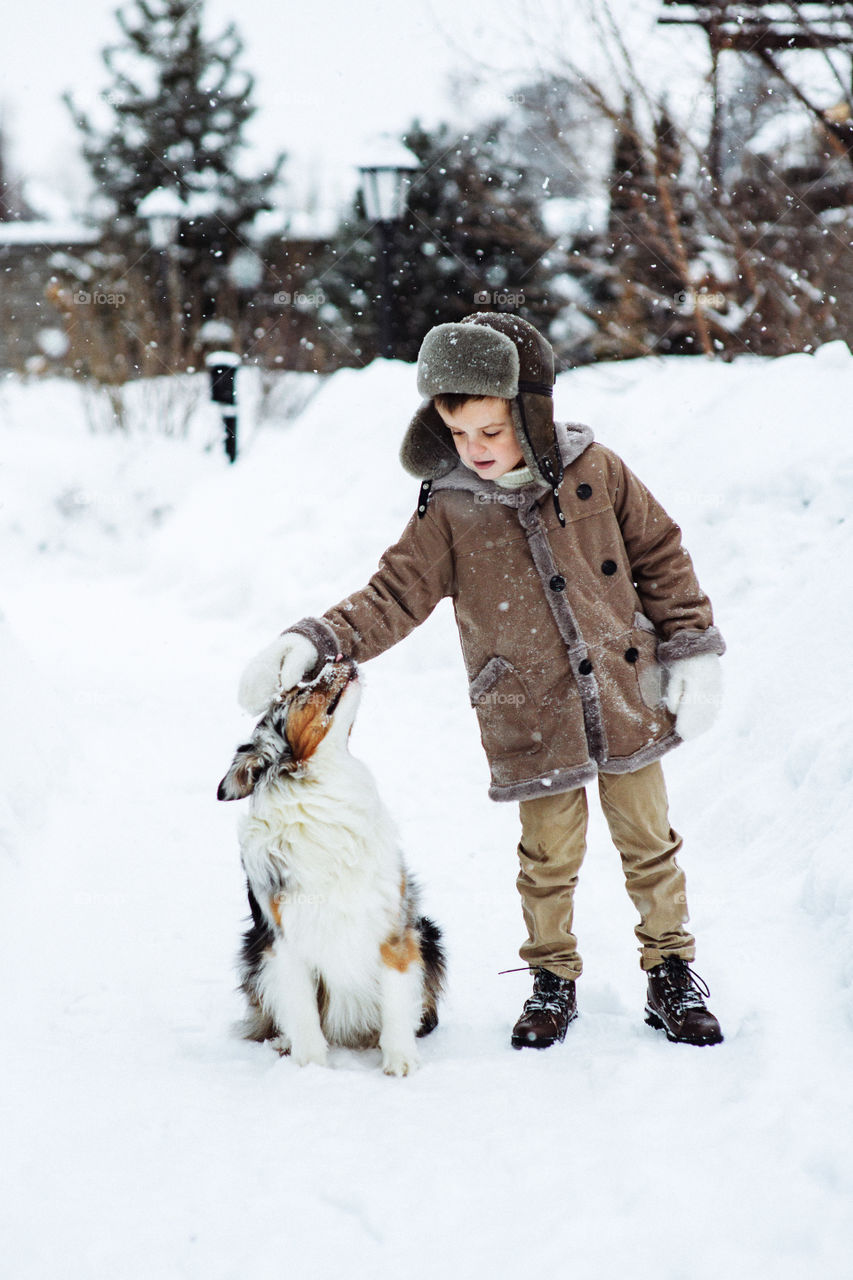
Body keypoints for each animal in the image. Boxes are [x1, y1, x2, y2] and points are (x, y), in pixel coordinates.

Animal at [217, 655, 445, 1075]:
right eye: (295, 691)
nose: (338, 656)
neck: (322, 784)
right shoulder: (284, 940)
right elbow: (304, 1012)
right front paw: (312, 1069)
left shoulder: (394, 925)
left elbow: (396, 997)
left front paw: (400, 1060)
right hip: (253, 950)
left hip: (431, 934)